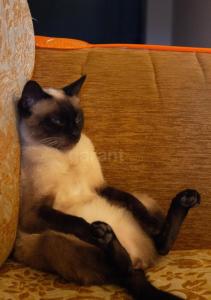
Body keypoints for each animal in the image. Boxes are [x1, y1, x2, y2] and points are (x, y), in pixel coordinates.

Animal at [14, 75, 200, 300]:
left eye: (78, 119)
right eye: (57, 121)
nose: (75, 133)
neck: (66, 155)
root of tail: (141, 258)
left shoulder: (99, 187)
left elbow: (131, 201)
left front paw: (150, 222)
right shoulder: (33, 213)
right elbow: (75, 221)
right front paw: (91, 229)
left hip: (146, 200)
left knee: (158, 245)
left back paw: (185, 200)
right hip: (54, 238)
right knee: (126, 271)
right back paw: (104, 234)